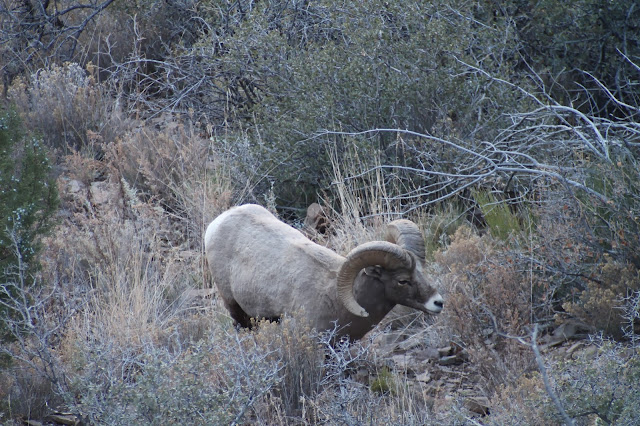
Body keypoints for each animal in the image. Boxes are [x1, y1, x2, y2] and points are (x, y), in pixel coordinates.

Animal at [204, 204, 443, 340]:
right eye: (403, 280)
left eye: (421, 271)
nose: (438, 302)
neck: (334, 297)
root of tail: (217, 223)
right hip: (236, 310)